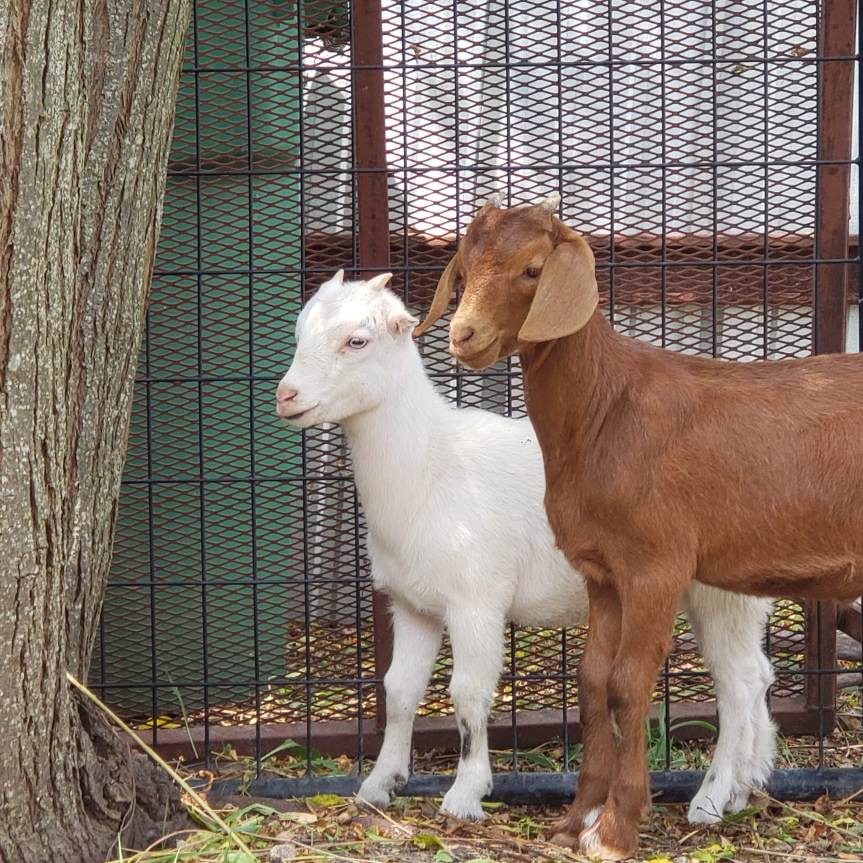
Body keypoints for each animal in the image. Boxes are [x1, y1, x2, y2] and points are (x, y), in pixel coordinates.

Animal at [276, 268, 776, 825]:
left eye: (357, 341)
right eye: (299, 332)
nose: (286, 395)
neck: (430, 464)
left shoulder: (475, 599)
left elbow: (467, 693)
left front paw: (466, 793)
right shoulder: (412, 604)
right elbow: (400, 691)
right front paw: (379, 784)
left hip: (719, 591)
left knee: (737, 684)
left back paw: (710, 800)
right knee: (757, 675)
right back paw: (744, 787)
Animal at [418, 193, 863, 859]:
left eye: (532, 270)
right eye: (464, 272)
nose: (462, 336)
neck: (607, 408)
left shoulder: (657, 565)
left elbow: (628, 684)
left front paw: (617, 826)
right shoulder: (602, 572)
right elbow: (591, 680)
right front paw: (576, 818)